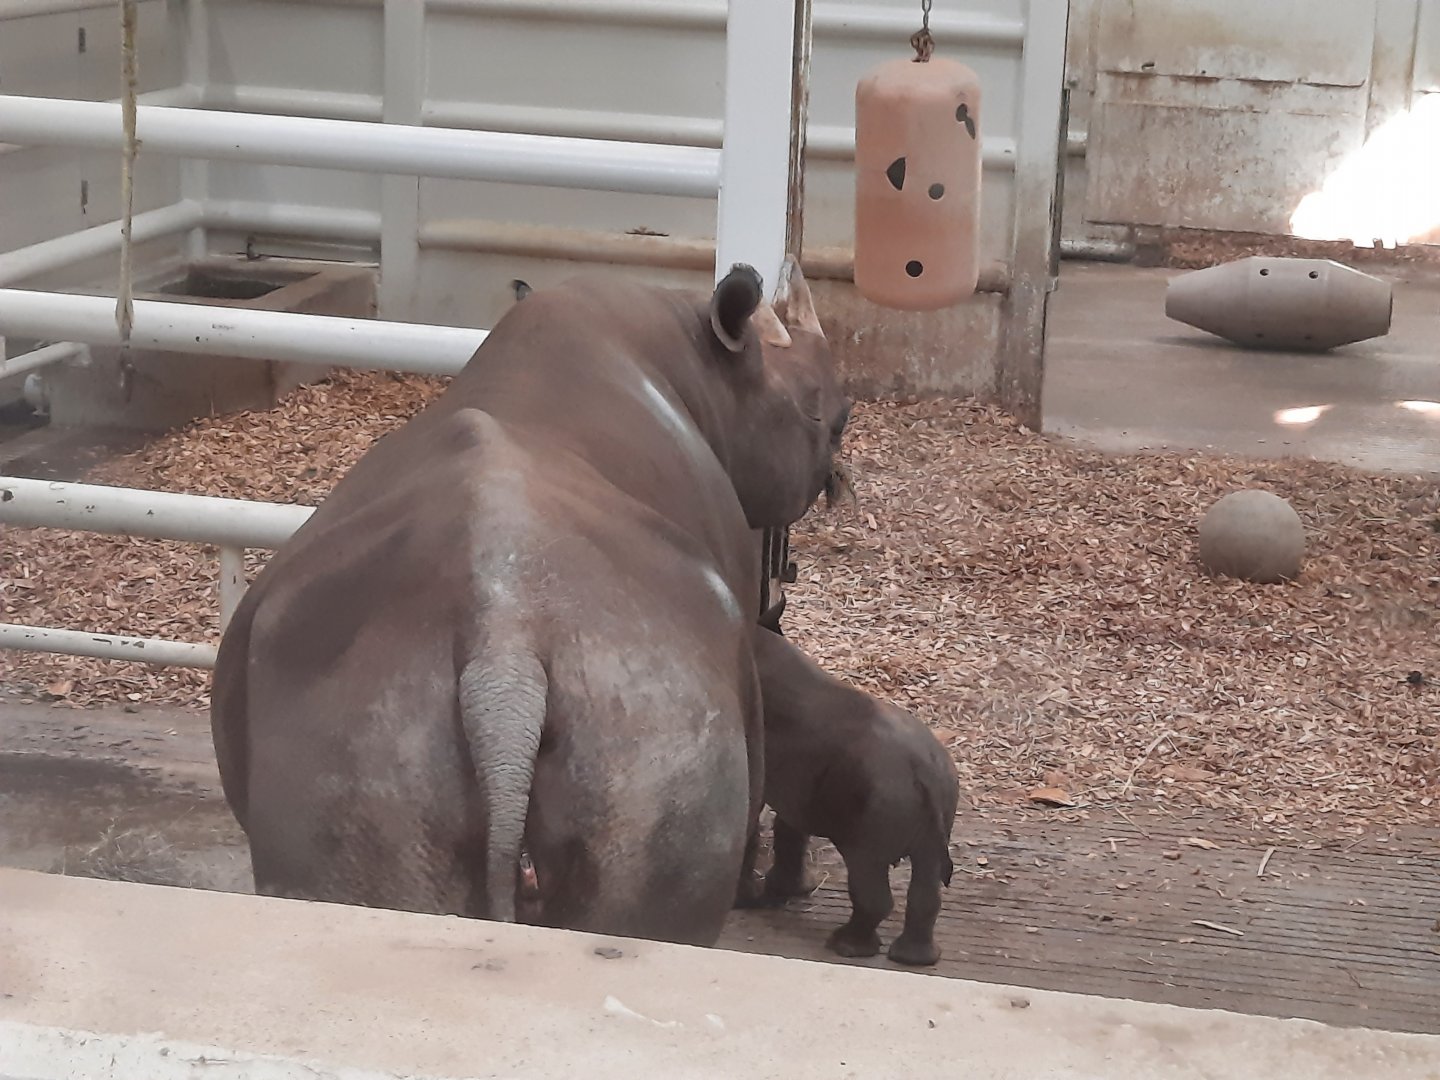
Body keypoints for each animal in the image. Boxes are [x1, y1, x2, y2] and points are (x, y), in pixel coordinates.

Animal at [210, 259, 850, 949]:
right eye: (833, 418)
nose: (835, 478)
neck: (707, 358)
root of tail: (503, 649)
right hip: (652, 700)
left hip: (359, 729)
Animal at [748, 626, 960, 966]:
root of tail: (924, 771)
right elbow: (789, 823)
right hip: (936, 803)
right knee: (925, 881)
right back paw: (914, 959)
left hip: (878, 812)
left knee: (867, 874)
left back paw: (844, 946)